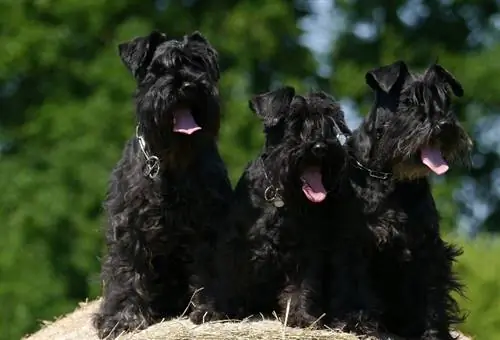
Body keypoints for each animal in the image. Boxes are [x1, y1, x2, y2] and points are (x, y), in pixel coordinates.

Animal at [93, 30, 233, 338]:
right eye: (157, 70)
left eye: (198, 63)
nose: (187, 84)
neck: (171, 163)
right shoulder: (129, 226)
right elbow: (125, 270)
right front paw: (120, 318)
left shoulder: (208, 223)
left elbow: (209, 266)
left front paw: (211, 309)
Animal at [189, 87, 350, 326]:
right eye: (295, 122)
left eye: (330, 122)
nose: (321, 147)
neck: (280, 196)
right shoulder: (233, 245)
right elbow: (224, 279)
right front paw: (214, 311)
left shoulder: (305, 248)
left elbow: (302, 284)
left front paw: (300, 315)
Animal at [344, 60, 472, 338]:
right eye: (408, 101)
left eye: (445, 100)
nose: (443, 125)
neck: (387, 176)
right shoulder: (360, 244)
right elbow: (361, 288)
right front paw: (368, 327)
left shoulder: (427, 246)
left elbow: (432, 293)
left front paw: (435, 333)